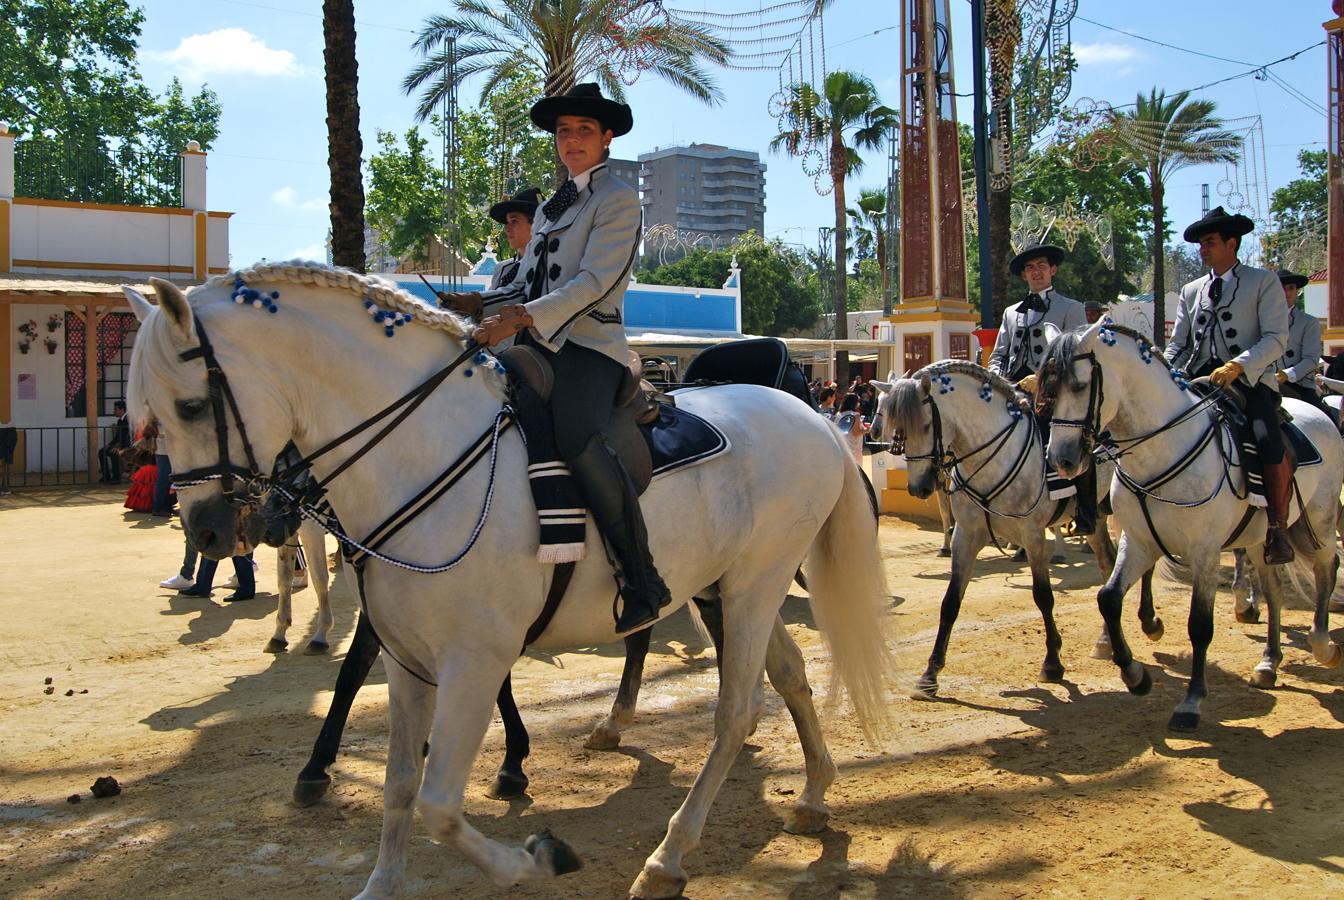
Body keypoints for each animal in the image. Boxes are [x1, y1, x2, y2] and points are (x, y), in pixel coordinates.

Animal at [123, 264, 892, 897]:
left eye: (190, 406)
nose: (208, 532)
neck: (425, 452)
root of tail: (811, 417)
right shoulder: (407, 660)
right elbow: (399, 784)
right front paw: (379, 881)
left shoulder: (475, 658)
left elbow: (438, 803)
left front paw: (536, 856)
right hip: (722, 587)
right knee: (788, 674)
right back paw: (813, 794)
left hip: (756, 585)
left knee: (736, 711)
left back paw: (669, 856)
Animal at [865, 362, 1128, 703]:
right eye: (898, 428)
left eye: (924, 425)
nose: (918, 487)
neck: (989, 457)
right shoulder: (967, 535)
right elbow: (950, 602)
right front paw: (930, 675)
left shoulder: (1033, 535)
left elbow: (1043, 597)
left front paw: (1052, 662)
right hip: (1096, 516)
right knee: (1108, 562)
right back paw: (1106, 640)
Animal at [1037, 325, 1344, 730]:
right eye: (1046, 389)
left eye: (1080, 385)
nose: (1061, 460)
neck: (1161, 449)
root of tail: (1316, 411)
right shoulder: (1138, 542)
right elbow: (1109, 598)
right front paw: (1134, 675)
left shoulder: (1205, 553)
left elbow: (1200, 625)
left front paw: (1191, 701)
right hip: (1262, 538)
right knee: (1275, 592)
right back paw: (1269, 662)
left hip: (1320, 521)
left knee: (1327, 568)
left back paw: (1323, 645)